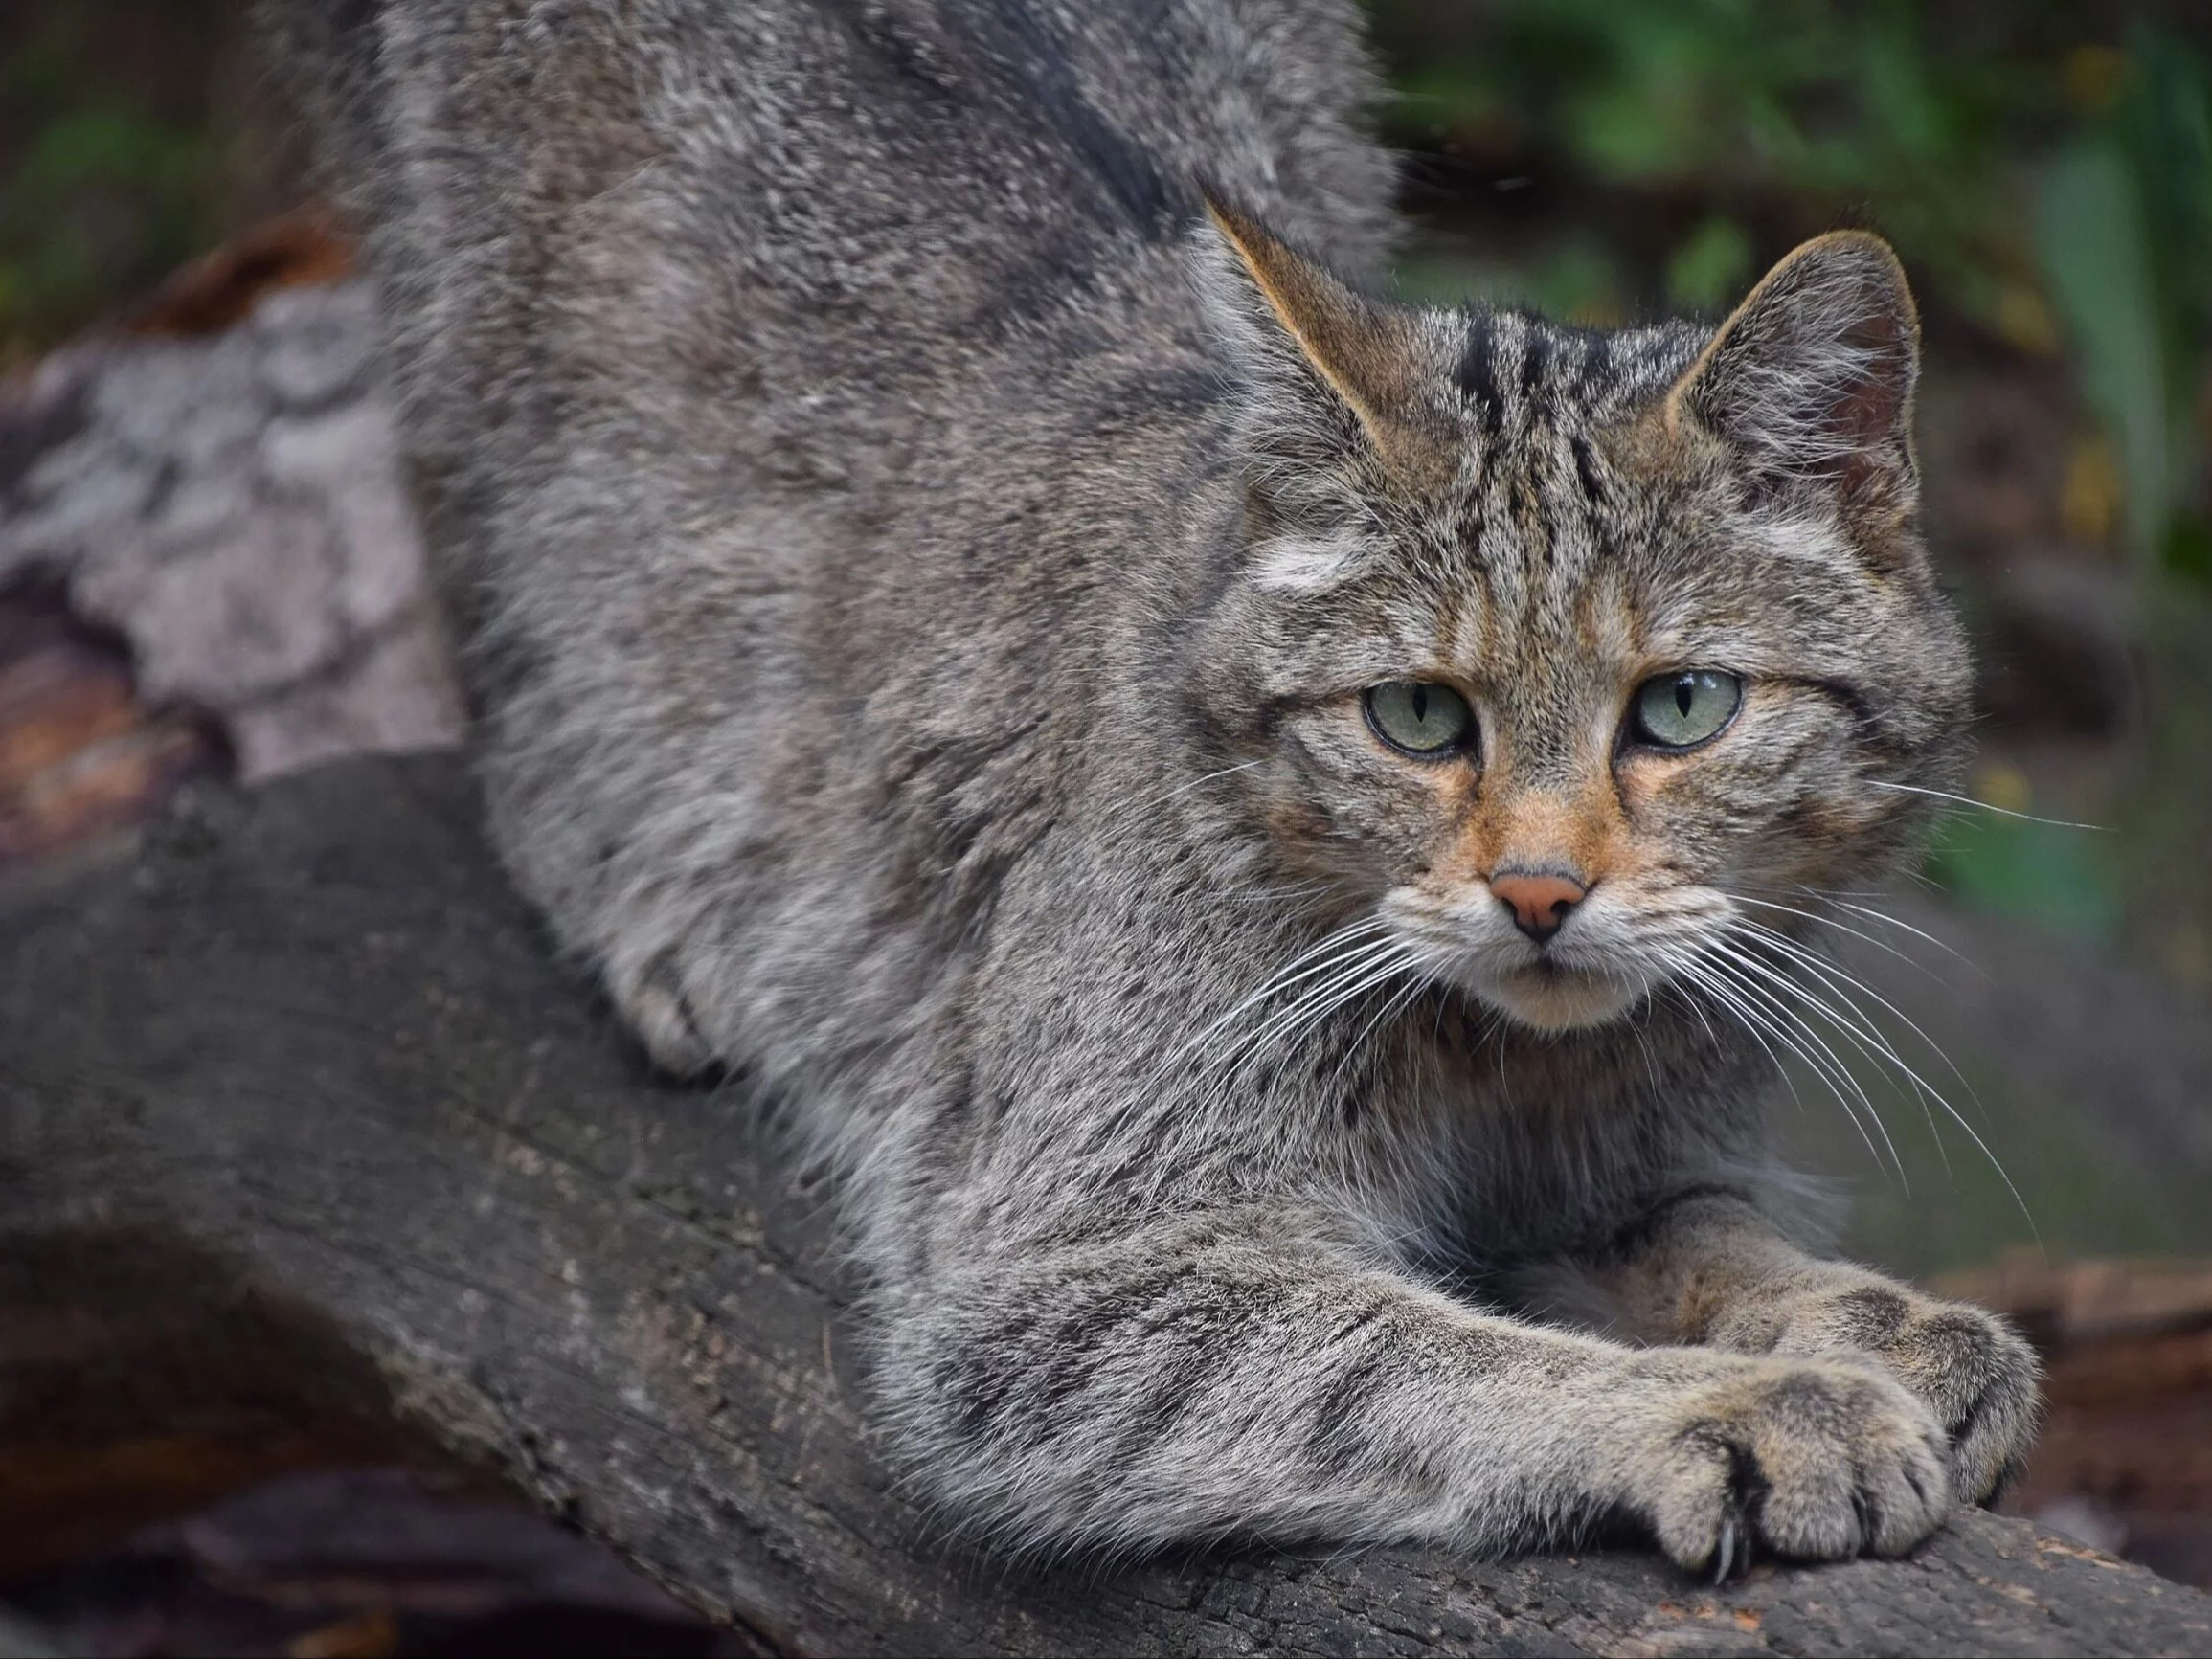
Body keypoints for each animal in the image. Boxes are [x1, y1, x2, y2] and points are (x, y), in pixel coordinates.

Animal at [272, 0, 2035, 1575]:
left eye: (1681, 706)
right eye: (1415, 716)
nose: (1537, 891)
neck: (1503, 1066)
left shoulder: (1628, 1169)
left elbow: (1711, 1234)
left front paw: (1862, 1312)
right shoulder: (1063, 1280)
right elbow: (1410, 1351)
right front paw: (1736, 1401)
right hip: (478, 363)